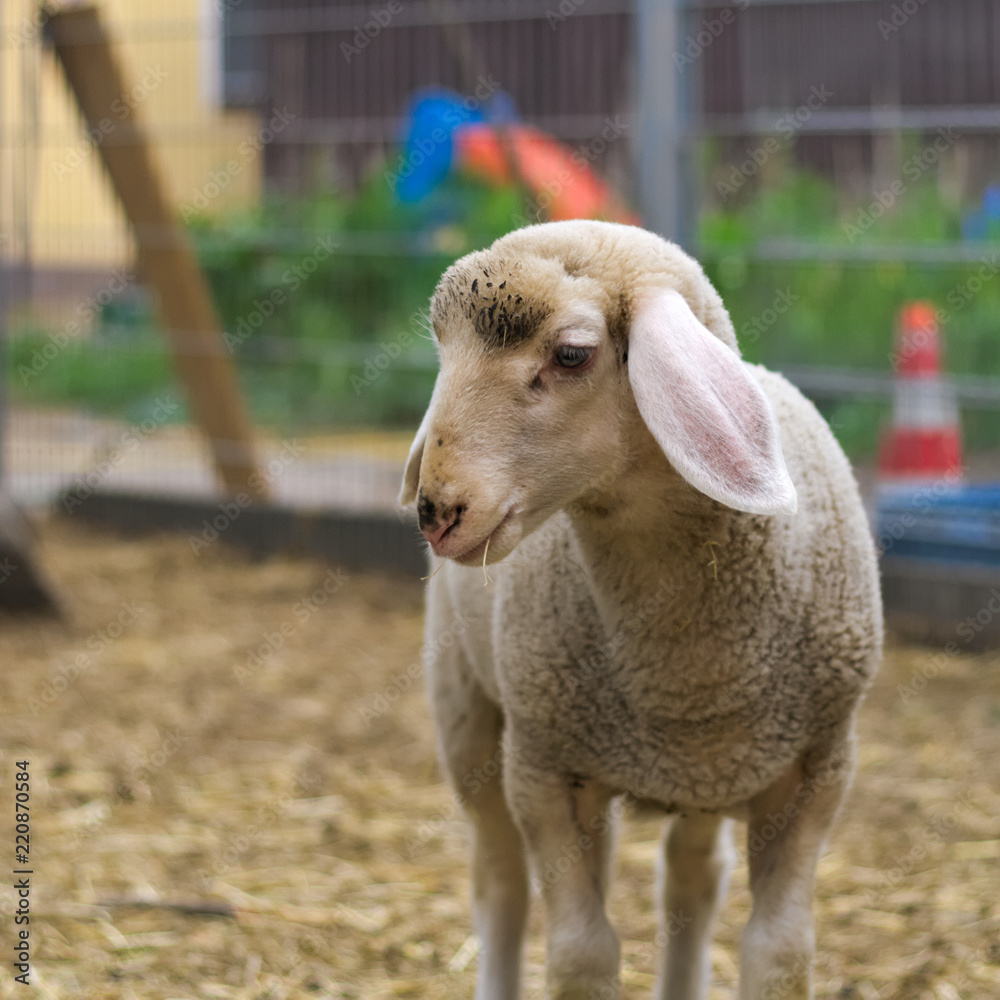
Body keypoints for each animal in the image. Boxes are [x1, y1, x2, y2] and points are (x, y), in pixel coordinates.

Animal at [400, 220, 882, 1000]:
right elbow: (582, 953)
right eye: (443, 350)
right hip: (468, 711)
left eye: (572, 353)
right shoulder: (542, 770)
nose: (435, 511)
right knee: (500, 883)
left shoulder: (817, 770)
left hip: (699, 777)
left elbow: (780, 951)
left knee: (691, 881)